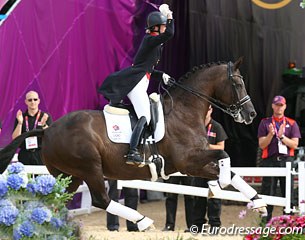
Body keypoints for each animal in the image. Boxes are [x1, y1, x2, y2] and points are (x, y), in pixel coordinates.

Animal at [0, 57, 264, 231]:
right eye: (238, 83)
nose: (251, 114)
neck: (184, 112)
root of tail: (47, 130)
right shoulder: (187, 161)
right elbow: (224, 159)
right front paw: (219, 184)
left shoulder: (193, 163)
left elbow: (227, 166)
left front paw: (258, 202)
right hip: (90, 167)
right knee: (100, 200)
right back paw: (142, 221)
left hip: (70, 175)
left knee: (57, 201)